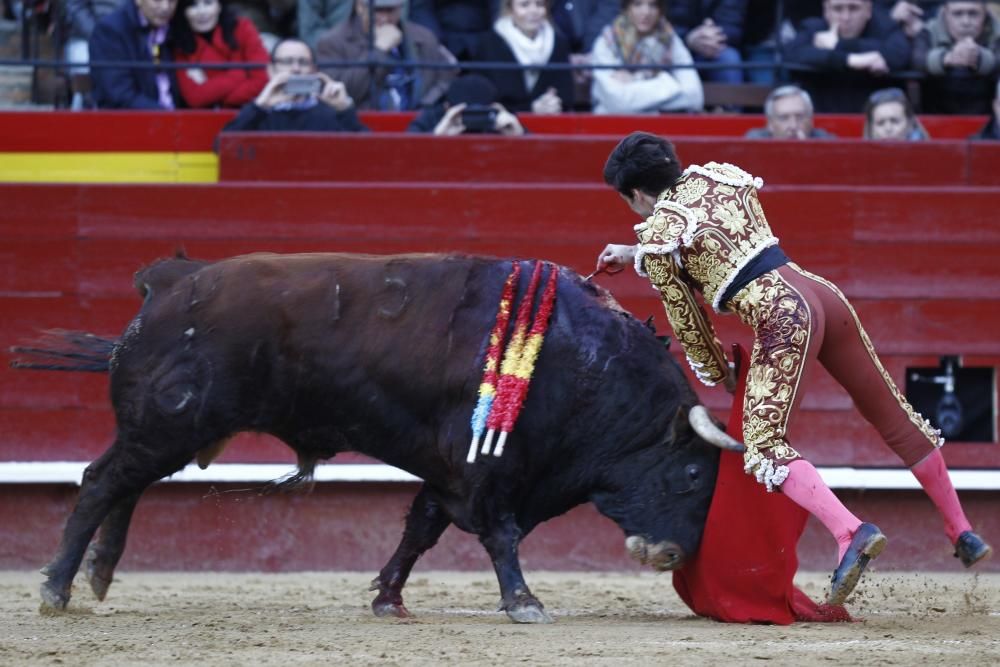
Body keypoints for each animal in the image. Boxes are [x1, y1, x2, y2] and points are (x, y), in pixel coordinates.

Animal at [23, 253, 740, 624]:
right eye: (693, 475)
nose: (672, 554)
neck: (585, 366)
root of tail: (164, 287)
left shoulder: (451, 472)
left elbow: (419, 530)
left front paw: (389, 598)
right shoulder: (488, 472)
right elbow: (499, 535)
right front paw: (524, 601)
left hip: (165, 430)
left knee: (127, 486)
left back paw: (99, 576)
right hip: (166, 424)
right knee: (100, 483)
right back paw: (58, 588)